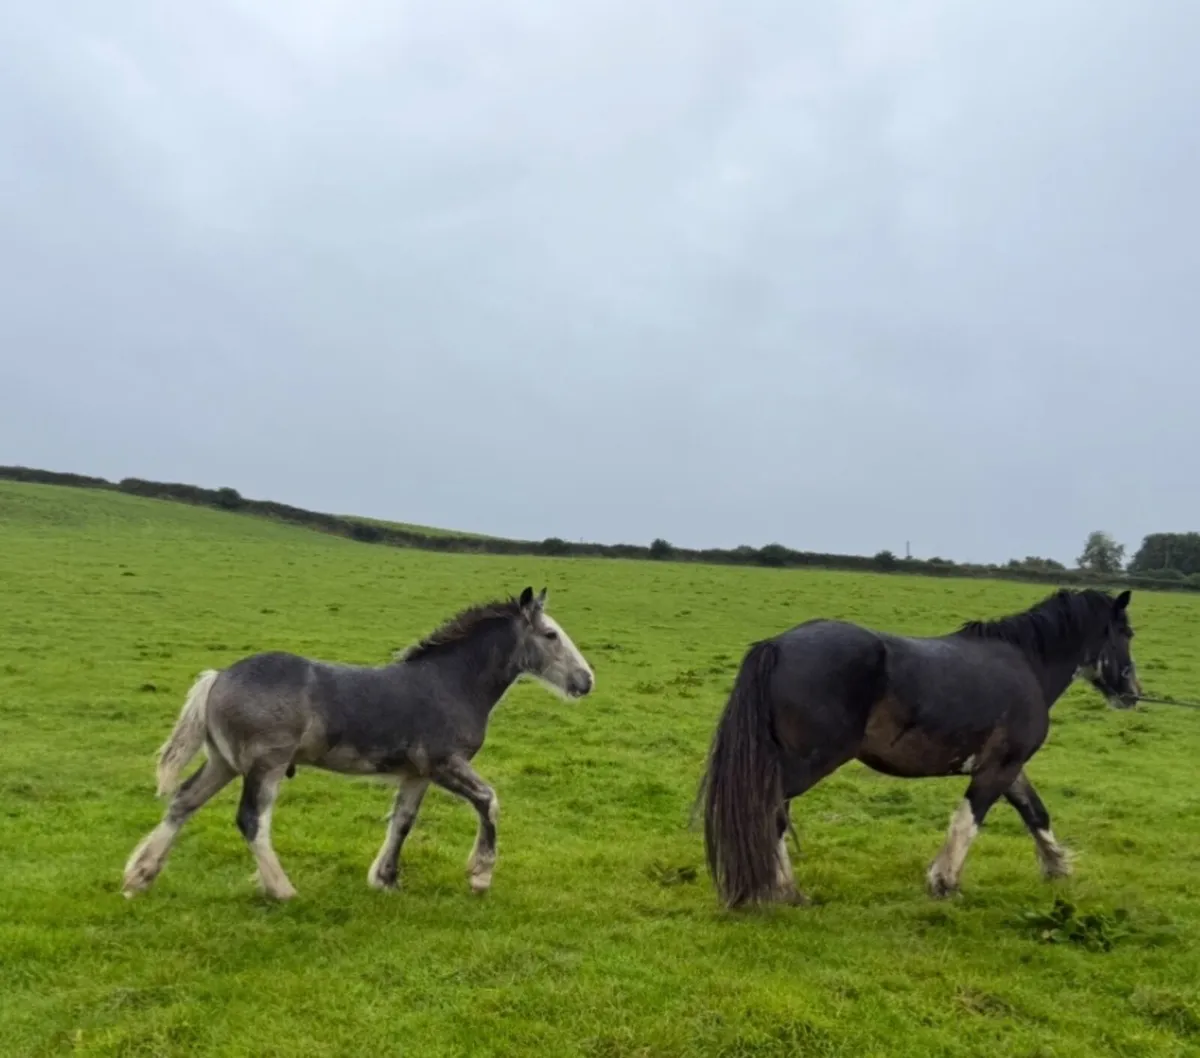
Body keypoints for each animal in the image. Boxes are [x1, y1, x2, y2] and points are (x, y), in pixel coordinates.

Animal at [122, 587, 595, 901]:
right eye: (551, 635)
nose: (586, 680)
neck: (450, 684)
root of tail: (218, 677)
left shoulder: (417, 774)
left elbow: (402, 821)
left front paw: (385, 879)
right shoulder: (445, 763)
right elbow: (489, 801)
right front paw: (479, 876)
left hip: (224, 762)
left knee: (183, 802)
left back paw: (139, 877)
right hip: (264, 766)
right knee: (251, 820)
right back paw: (282, 890)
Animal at [699, 587, 1141, 909]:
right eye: (1127, 634)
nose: (1133, 693)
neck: (1026, 663)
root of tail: (776, 646)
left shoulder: (1011, 768)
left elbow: (1036, 814)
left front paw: (1058, 869)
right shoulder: (997, 769)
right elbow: (967, 821)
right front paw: (944, 883)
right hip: (805, 764)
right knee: (770, 812)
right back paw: (786, 892)